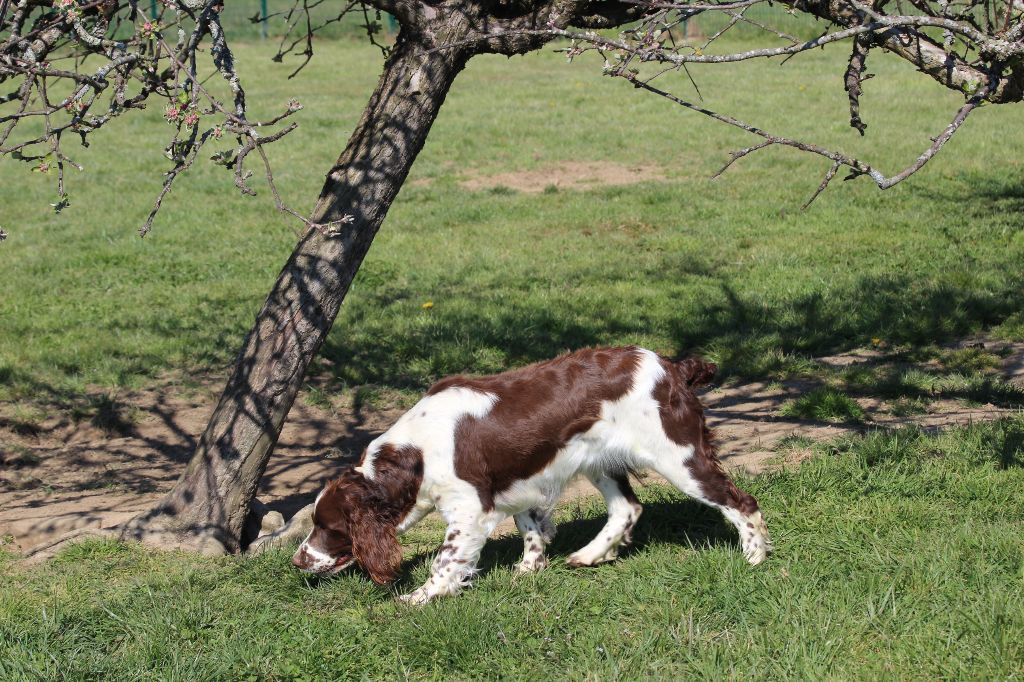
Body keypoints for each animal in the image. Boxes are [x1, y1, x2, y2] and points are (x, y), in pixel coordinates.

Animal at [288, 346, 770, 602]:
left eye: (328, 527)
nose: (297, 561)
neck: (415, 453)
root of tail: (673, 367)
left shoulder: (469, 509)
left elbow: (447, 559)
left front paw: (420, 598)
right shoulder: (515, 484)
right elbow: (531, 528)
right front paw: (529, 569)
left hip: (679, 458)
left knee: (741, 502)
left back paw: (754, 557)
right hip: (599, 460)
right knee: (627, 508)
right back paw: (589, 555)